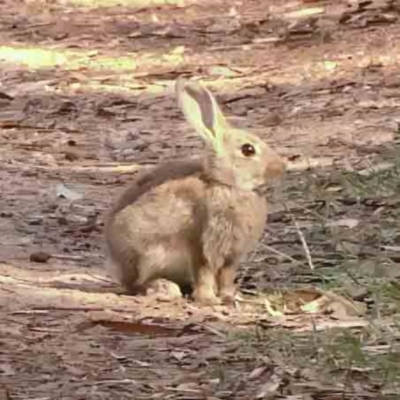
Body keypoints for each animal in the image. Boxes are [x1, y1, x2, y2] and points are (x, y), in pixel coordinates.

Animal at [104, 76, 284, 304]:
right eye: (248, 150)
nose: (281, 167)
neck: (225, 184)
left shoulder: (231, 256)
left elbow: (227, 277)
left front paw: (230, 296)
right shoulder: (203, 245)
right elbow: (204, 272)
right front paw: (209, 300)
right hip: (146, 257)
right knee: (137, 284)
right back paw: (164, 288)